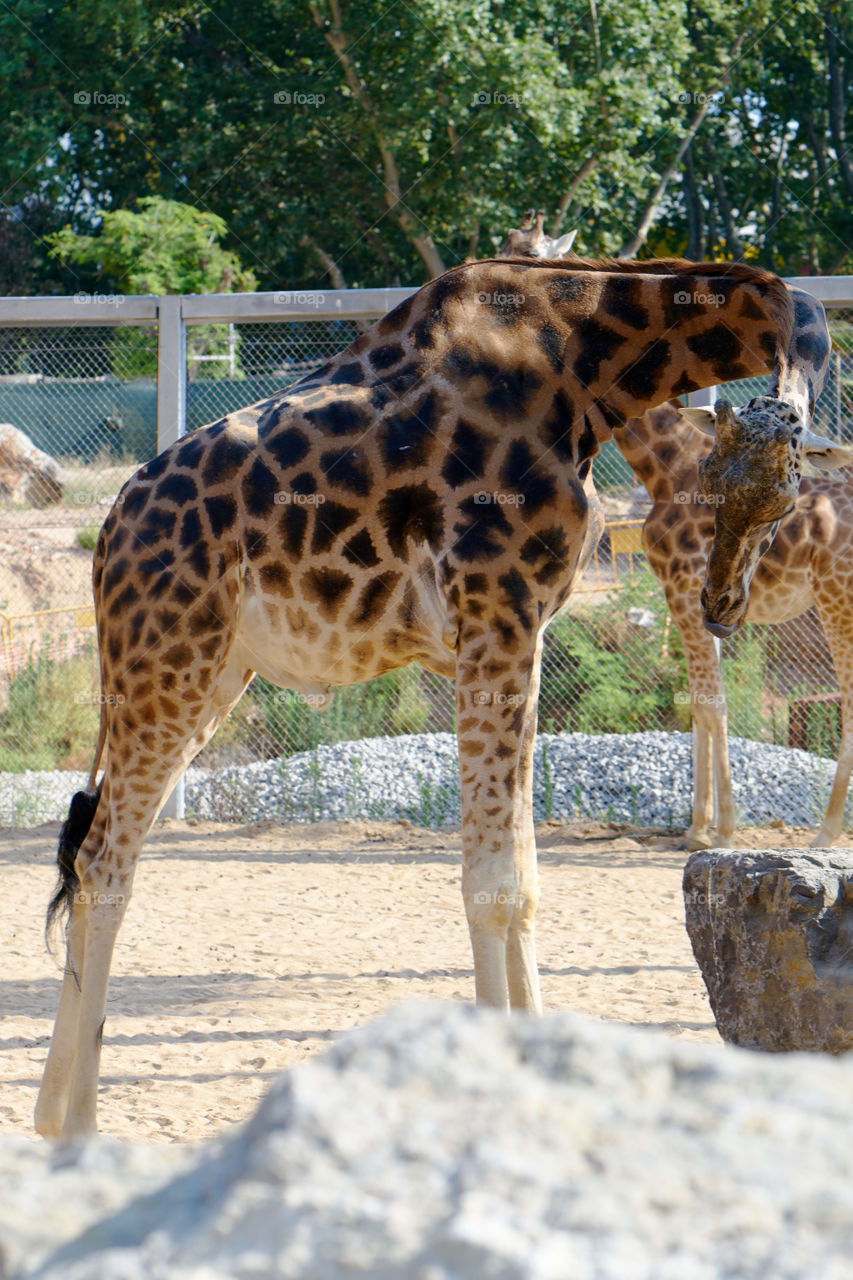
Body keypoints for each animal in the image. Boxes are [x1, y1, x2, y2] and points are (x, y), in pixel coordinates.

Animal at [33, 252, 845, 1141]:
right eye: (712, 483)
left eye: (779, 498)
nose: (721, 602)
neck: (586, 368)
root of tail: (108, 538)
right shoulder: (495, 610)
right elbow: (492, 883)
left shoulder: (520, 629)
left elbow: (522, 878)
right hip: (168, 656)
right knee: (104, 862)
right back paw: (79, 1128)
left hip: (211, 670)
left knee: (94, 849)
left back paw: (49, 1118)